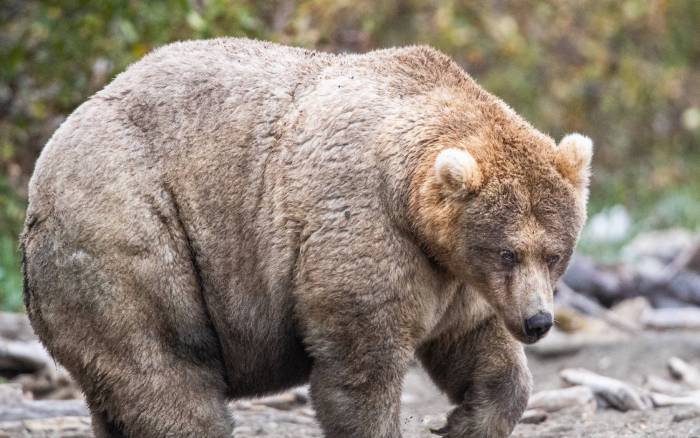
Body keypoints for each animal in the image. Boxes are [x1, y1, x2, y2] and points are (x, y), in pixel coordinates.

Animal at [20, 38, 592, 438]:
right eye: (508, 251)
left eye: (555, 253)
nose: (538, 322)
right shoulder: (365, 228)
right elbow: (361, 366)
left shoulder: (454, 275)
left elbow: (477, 346)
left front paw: (464, 421)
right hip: (130, 233)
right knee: (165, 370)